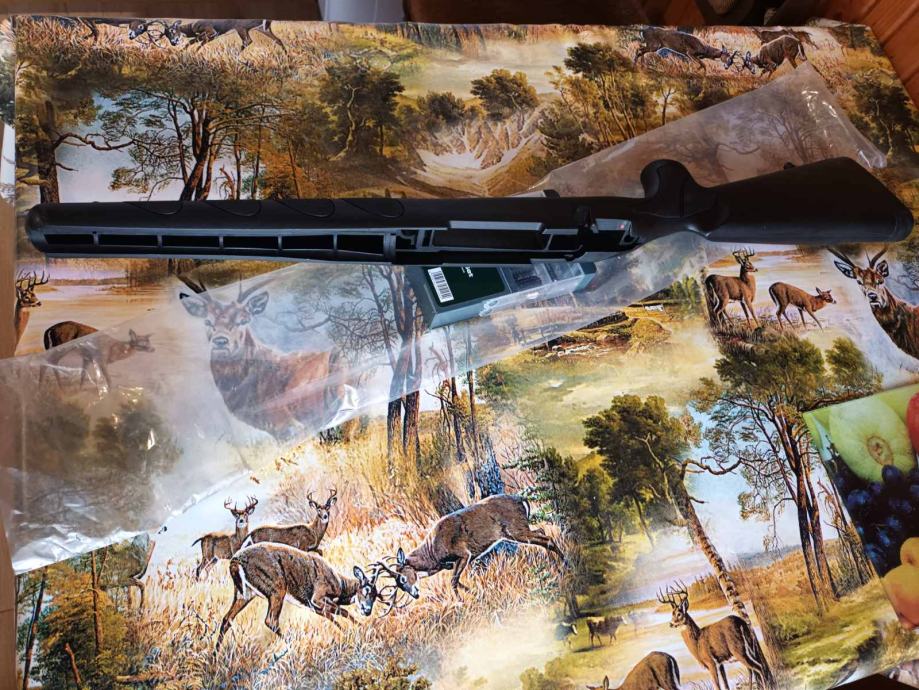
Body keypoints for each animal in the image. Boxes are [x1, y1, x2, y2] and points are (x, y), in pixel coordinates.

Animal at [215, 544, 387, 649]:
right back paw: (291, 643)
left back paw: (216, 655)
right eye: (366, 590)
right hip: (277, 588)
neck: (339, 584)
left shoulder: (312, 605)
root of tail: (235, 562)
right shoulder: (317, 596)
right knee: (271, 620)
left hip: (244, 594)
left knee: (226, 619)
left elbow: (332, 616)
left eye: (376, 595)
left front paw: (350, 630)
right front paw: (359, 629)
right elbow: (343, 612)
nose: (367, 611)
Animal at [381, 494, 565, 598]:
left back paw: (564, 564)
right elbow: (456, 580)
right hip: (518, 531)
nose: (414, 595)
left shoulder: (464, 553)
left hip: (516, 529)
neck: (432, 553)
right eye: (397, 584)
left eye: (402, 578)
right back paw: (555, 565)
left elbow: (453, 581)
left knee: (547, 538)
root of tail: (521, 499)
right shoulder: (458, 561)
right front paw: (477, 594)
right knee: (542, 532)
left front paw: (461, 601)